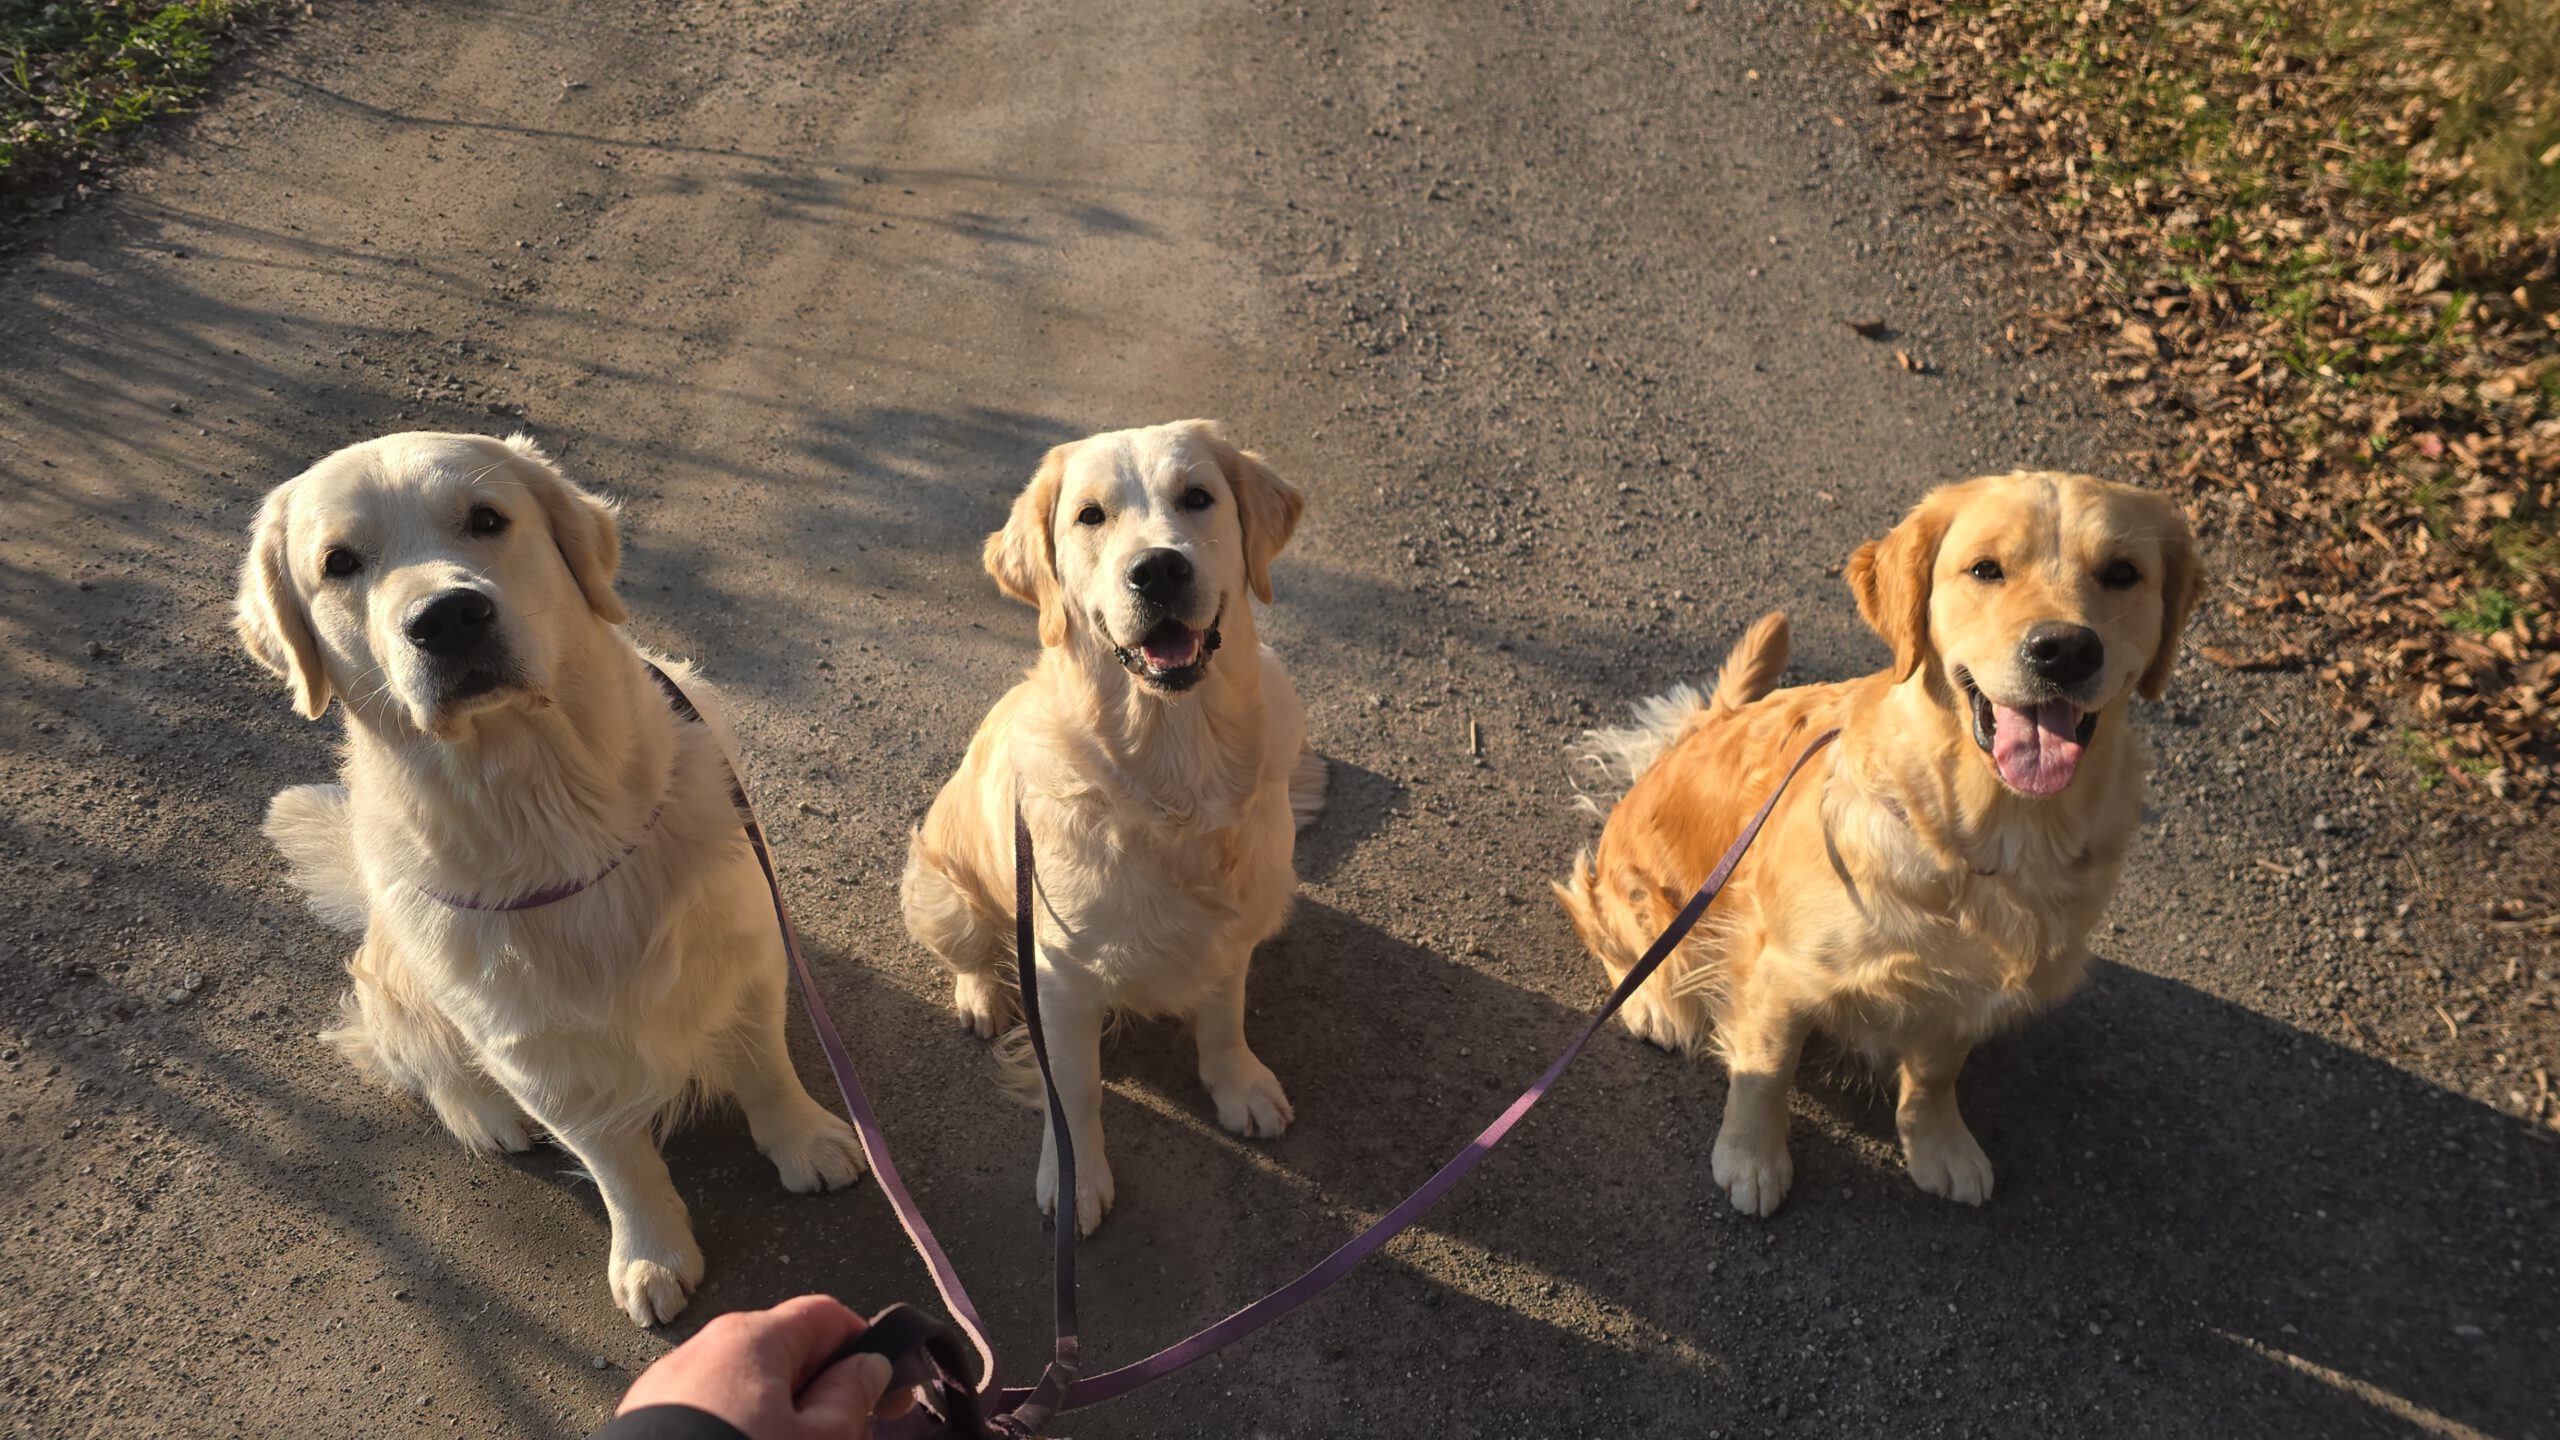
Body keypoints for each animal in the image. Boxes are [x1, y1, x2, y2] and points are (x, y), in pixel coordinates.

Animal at [235, 432, 865, 1326]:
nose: (447, 617)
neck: (545, 801)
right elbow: (616, 1161)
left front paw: (805, 1142)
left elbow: (765, 1066)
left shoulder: (744, 955)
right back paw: (483, 1115)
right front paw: (651, 1253)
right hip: (403, 989)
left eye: (487, 519)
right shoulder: (534, 1048)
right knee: (410, 1054)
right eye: (339, 563)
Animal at [900, 420, 1323, 1235]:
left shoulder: (1233, 926)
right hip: (940, 892)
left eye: (1198, 497)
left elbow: (1224, 1016)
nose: (1158, 570)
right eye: (1090, 516)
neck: (1172, 760)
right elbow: (1075, 1092)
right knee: (971, 952)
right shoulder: (1060, 974)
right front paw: (1076, 1181)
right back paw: (980, 997)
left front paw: (1238, 1084)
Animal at [1557, 471, 2198, 1215]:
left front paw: (1939, 1145)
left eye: (2123, 574)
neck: (1990, 837)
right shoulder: (1782, 969)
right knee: (1607, 928)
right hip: (1642, 897)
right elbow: (1765, 1069)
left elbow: (1936, 1075)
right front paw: (1752, 1158)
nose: (2065, 649)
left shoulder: (1961, 994)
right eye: (1986, 569)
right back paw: (1652, 1003)